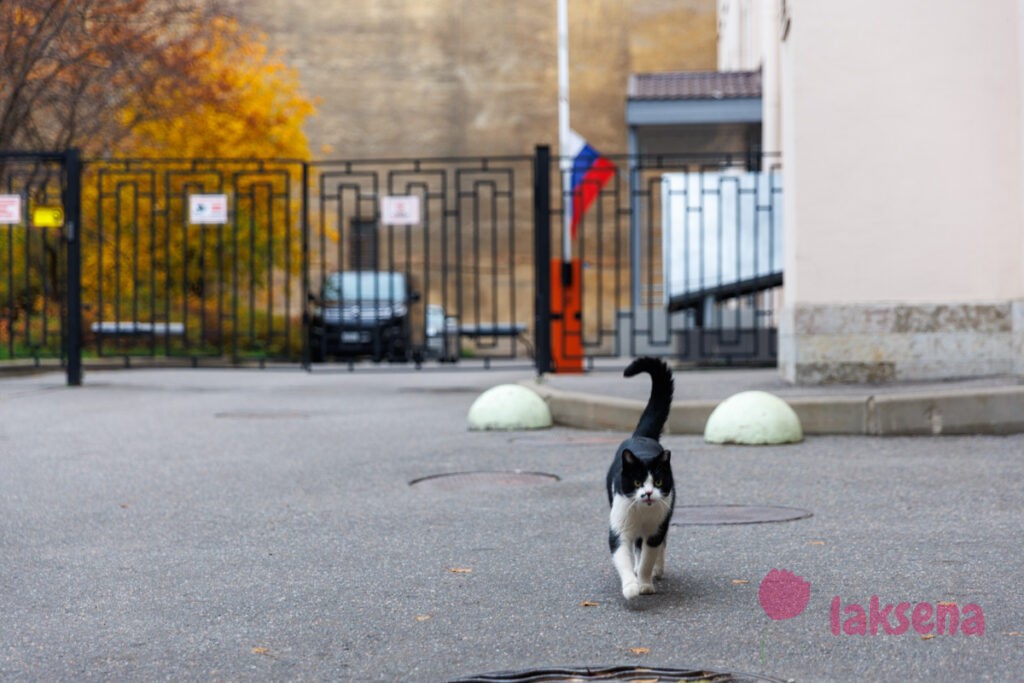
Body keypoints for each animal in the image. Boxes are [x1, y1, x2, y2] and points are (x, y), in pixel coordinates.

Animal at [602, 358, 675, 598]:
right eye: (637, 482)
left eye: (658, 482)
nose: (648, 493)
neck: (643, 514)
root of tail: (641, 437)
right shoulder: (620, 528)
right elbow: (623, 556)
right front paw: (631, 587)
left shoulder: (655, 530)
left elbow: (647, 559)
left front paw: (644, 584)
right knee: (636, 548)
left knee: (660, 545)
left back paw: (658, 571)